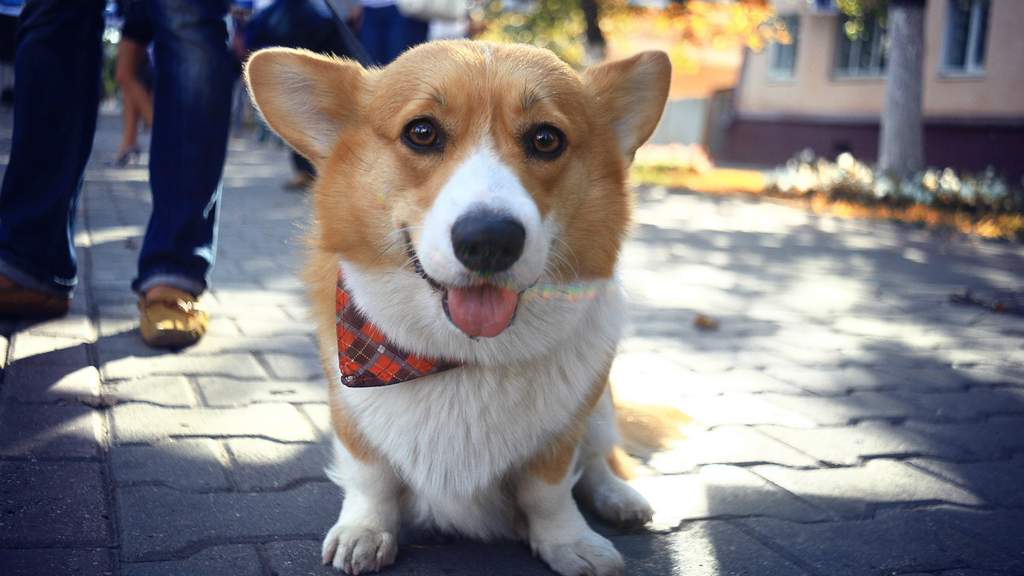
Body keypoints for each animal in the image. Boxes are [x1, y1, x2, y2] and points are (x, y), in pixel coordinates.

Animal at [242, 41, 667, 573]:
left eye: (546, 139)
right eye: (421, 132)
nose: (489, 240)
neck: (463, 356)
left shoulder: (563, 432)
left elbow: (549, 492)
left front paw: (569, 542)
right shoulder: (349, 411)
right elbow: (370, 478)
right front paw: (364, 531)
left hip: (601, 401)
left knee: (600, 457)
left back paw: (620, 497)